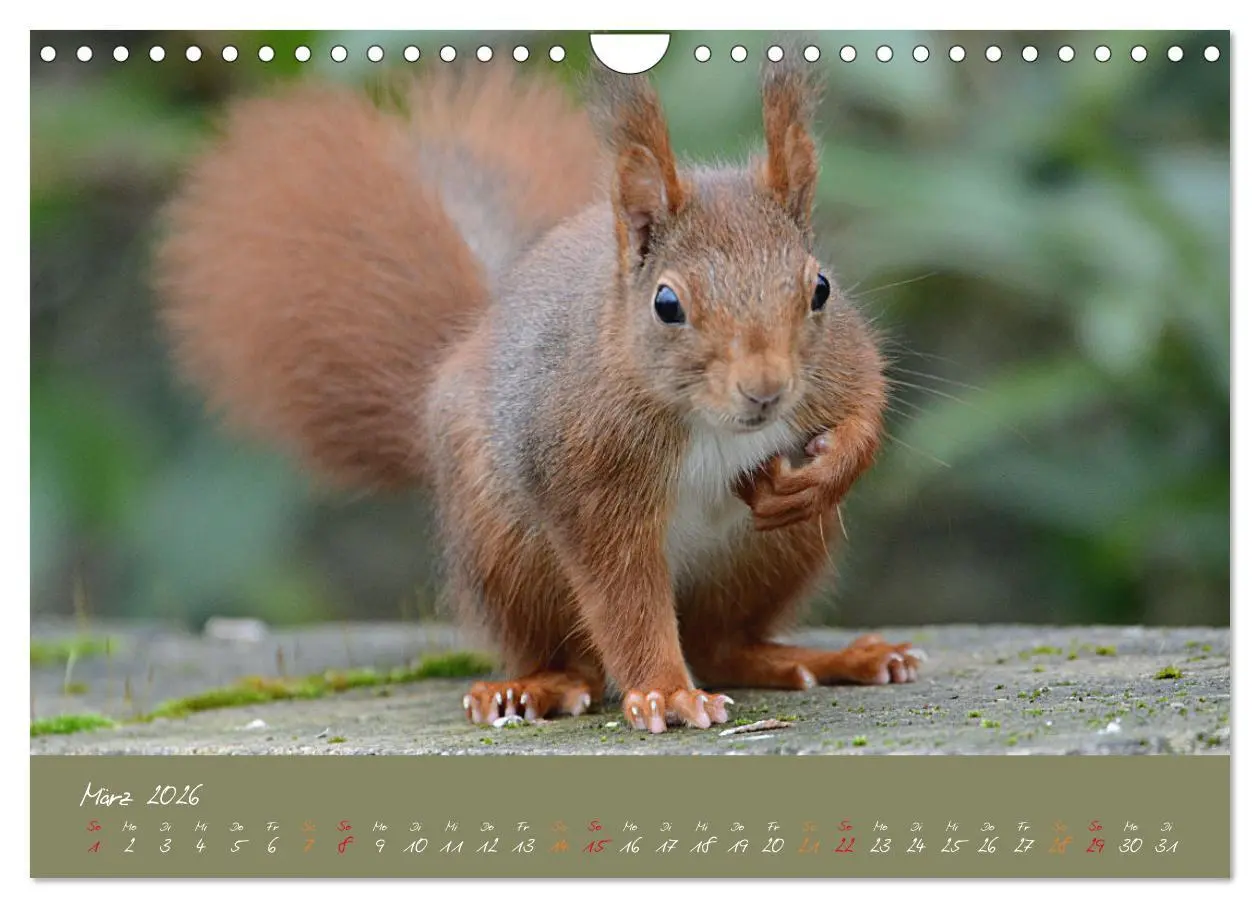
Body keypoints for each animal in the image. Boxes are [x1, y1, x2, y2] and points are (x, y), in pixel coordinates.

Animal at [153, 57, 923, 735]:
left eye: (820, 287)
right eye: (667, 304)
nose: (766, 391)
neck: (705, 421)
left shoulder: (840, 361)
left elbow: (867, 400)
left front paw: (829, 470)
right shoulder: (588, 472)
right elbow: (623, 595)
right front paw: (665, 693)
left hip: (772, 554)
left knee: (722, 643)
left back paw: (829, 658)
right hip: (508, 552)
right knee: (577, 654)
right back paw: (533, 687)